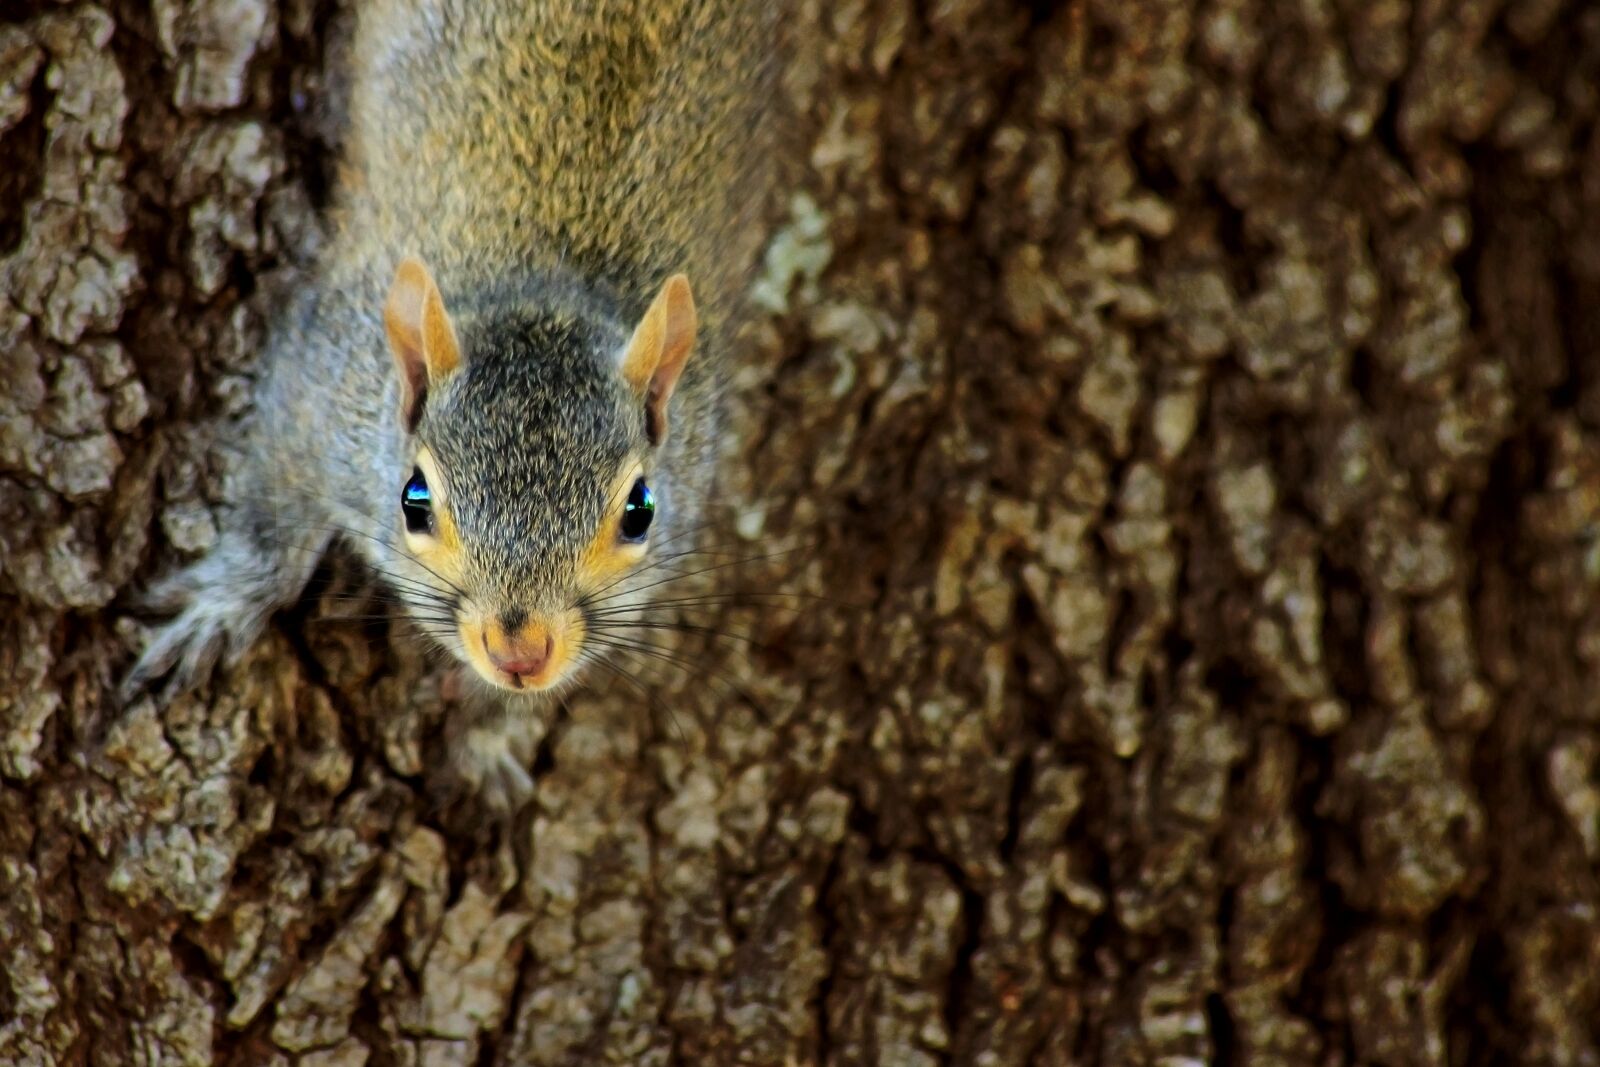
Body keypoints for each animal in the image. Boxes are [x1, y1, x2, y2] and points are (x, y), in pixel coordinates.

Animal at [124, 0, 782, 787]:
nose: (520, 652)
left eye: (641, 512)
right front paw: (220, 608)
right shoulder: (320, 385)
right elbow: (269, 517)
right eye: (414, 500)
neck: (544, 292)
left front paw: (492, 732)